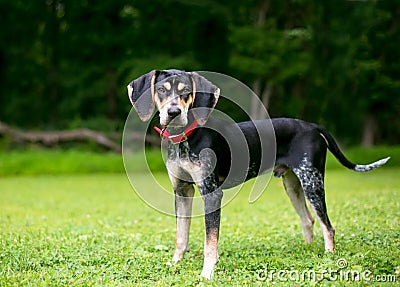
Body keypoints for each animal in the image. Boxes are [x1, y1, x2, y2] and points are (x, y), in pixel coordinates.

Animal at [126, 69, 390, 280]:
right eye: (161, 90)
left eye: (186, 92)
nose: (173, 112)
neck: (186, 136)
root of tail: (311, 126)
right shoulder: (182, 191)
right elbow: (181, 236)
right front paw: (175, 264)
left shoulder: (211, 193)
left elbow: (210, 241)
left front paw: (207, 273)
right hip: (293, 185)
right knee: (309, 220)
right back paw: (308, 251)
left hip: (313, 183)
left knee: (328, 226)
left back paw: (327, 257)